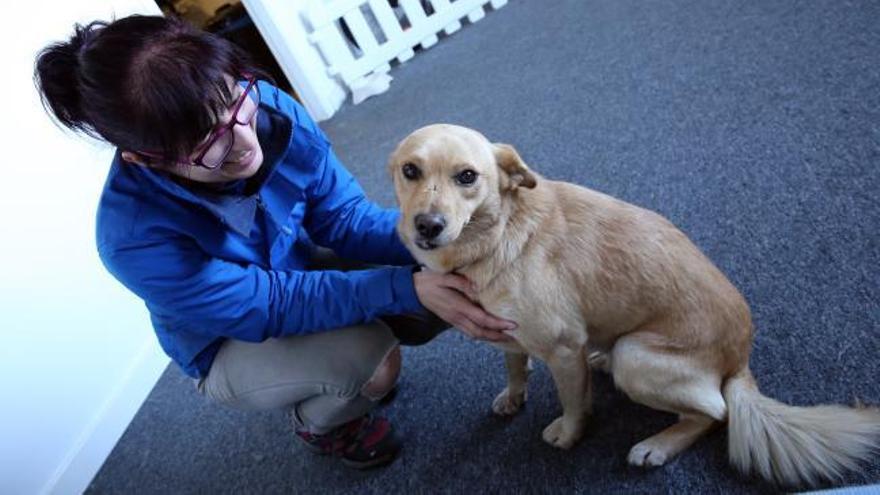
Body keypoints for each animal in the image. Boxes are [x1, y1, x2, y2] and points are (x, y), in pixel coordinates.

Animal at [388, 124, 880, 488]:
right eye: (410, 170)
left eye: (467, 177)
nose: (427, 226)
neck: (497, 233)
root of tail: (740, 360)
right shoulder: (508, 334)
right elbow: (514, 366)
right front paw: (513, 395)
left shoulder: (564, 349)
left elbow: (573, 403)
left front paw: (569, 434)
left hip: (636, 355)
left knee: (715, 412)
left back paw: (657, 445)